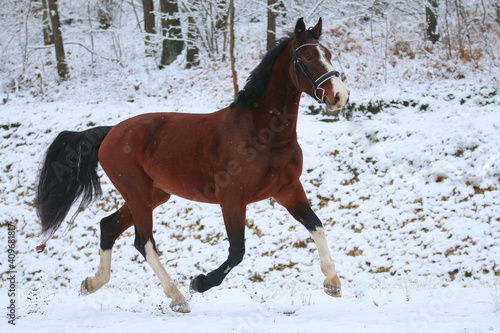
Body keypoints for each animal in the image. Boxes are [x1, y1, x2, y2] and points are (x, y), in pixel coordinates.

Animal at [35, 17, 348, 314]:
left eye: (328, 54)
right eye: (308, 56)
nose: (339, 96)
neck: (264, 135)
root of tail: (111, 132)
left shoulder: (288, 190)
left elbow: (317, 226)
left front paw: (332, 283)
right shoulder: (232, 199)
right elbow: (237, 251)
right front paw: (200, 282)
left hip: (153, 195)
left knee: (108, 226)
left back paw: (92, 283)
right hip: (137, 193)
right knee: (143, 241)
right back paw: (178, 298)